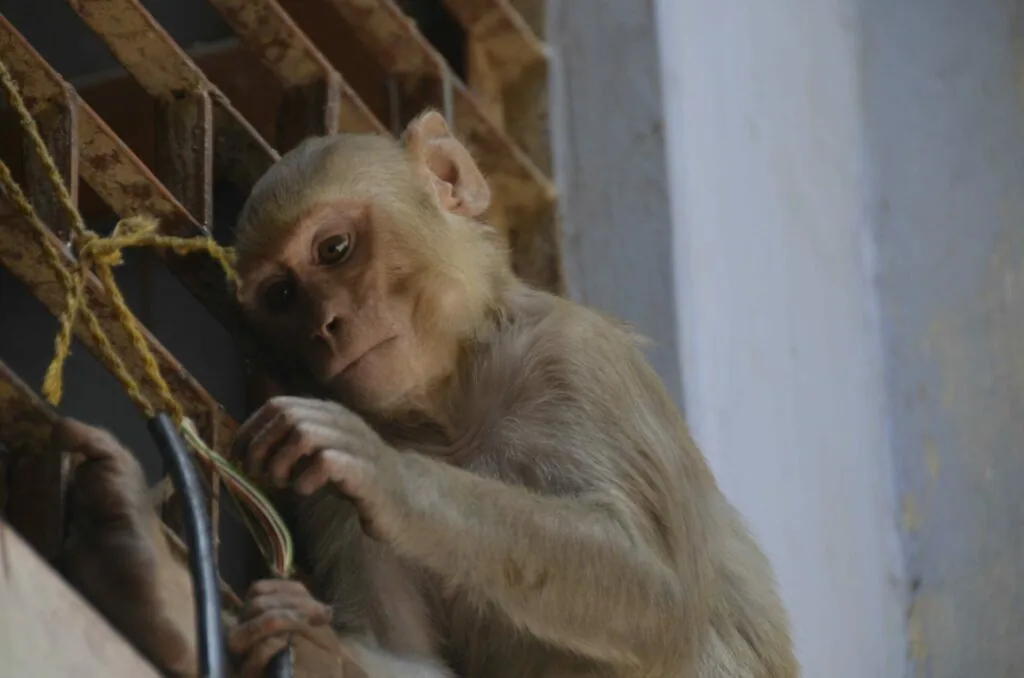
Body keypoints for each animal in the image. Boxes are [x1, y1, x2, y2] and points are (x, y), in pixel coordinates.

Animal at [55, 109, 799, 678]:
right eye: (283, 295)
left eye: (334, 249)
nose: (328, 325)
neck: (455, 408)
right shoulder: (329, 502)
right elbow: (413, 658)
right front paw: (168, 592)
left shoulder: (581, 359)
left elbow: (661, 598)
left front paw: (389, 476)